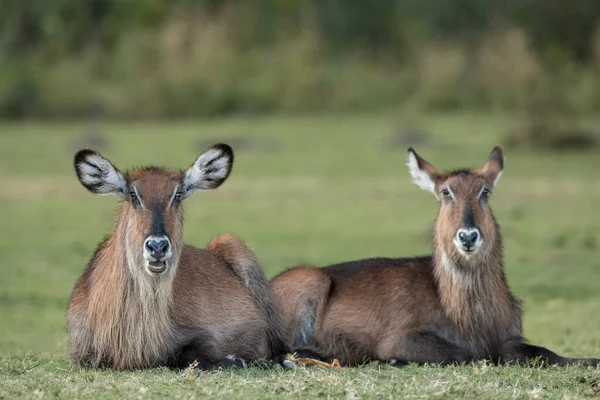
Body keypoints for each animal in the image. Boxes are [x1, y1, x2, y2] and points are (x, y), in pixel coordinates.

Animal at [67, 143, 290, 368]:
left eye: (177, 194)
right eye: (133, 194)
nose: (157, 246)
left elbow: (186, 354)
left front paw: (234, 360)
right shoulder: (81, 354)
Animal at [272, 148, 600, 368]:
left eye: (485, 191)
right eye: (445, 192)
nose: (467, 236)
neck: (467, 316)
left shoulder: (510, 338)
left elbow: (544, 352)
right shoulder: (401, 337)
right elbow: (468, 354)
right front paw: (391, 361)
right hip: (310, 280)